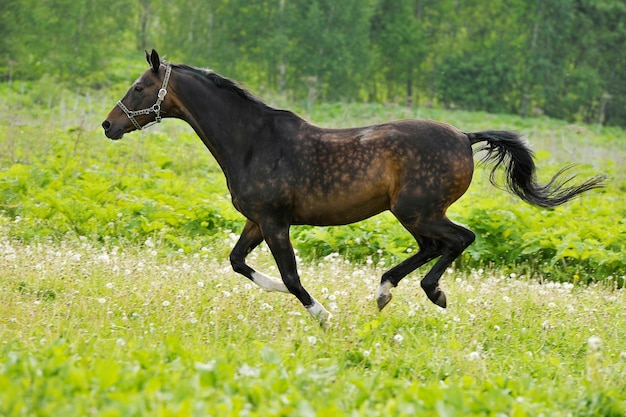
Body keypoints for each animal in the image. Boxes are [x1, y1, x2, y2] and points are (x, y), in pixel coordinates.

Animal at [102, 50, 604, 326]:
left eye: (139, 86)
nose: (108, 125)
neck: (252, 141)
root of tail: (464, 137)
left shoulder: (276, 221)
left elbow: (290, 275)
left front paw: (323, 315)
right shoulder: (257, 220)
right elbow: (238, 262)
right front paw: (287, 296)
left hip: (418, 210)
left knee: (459, 239)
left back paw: (430, 292)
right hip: (414, 213)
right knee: (433, 246)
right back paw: (386, 291)